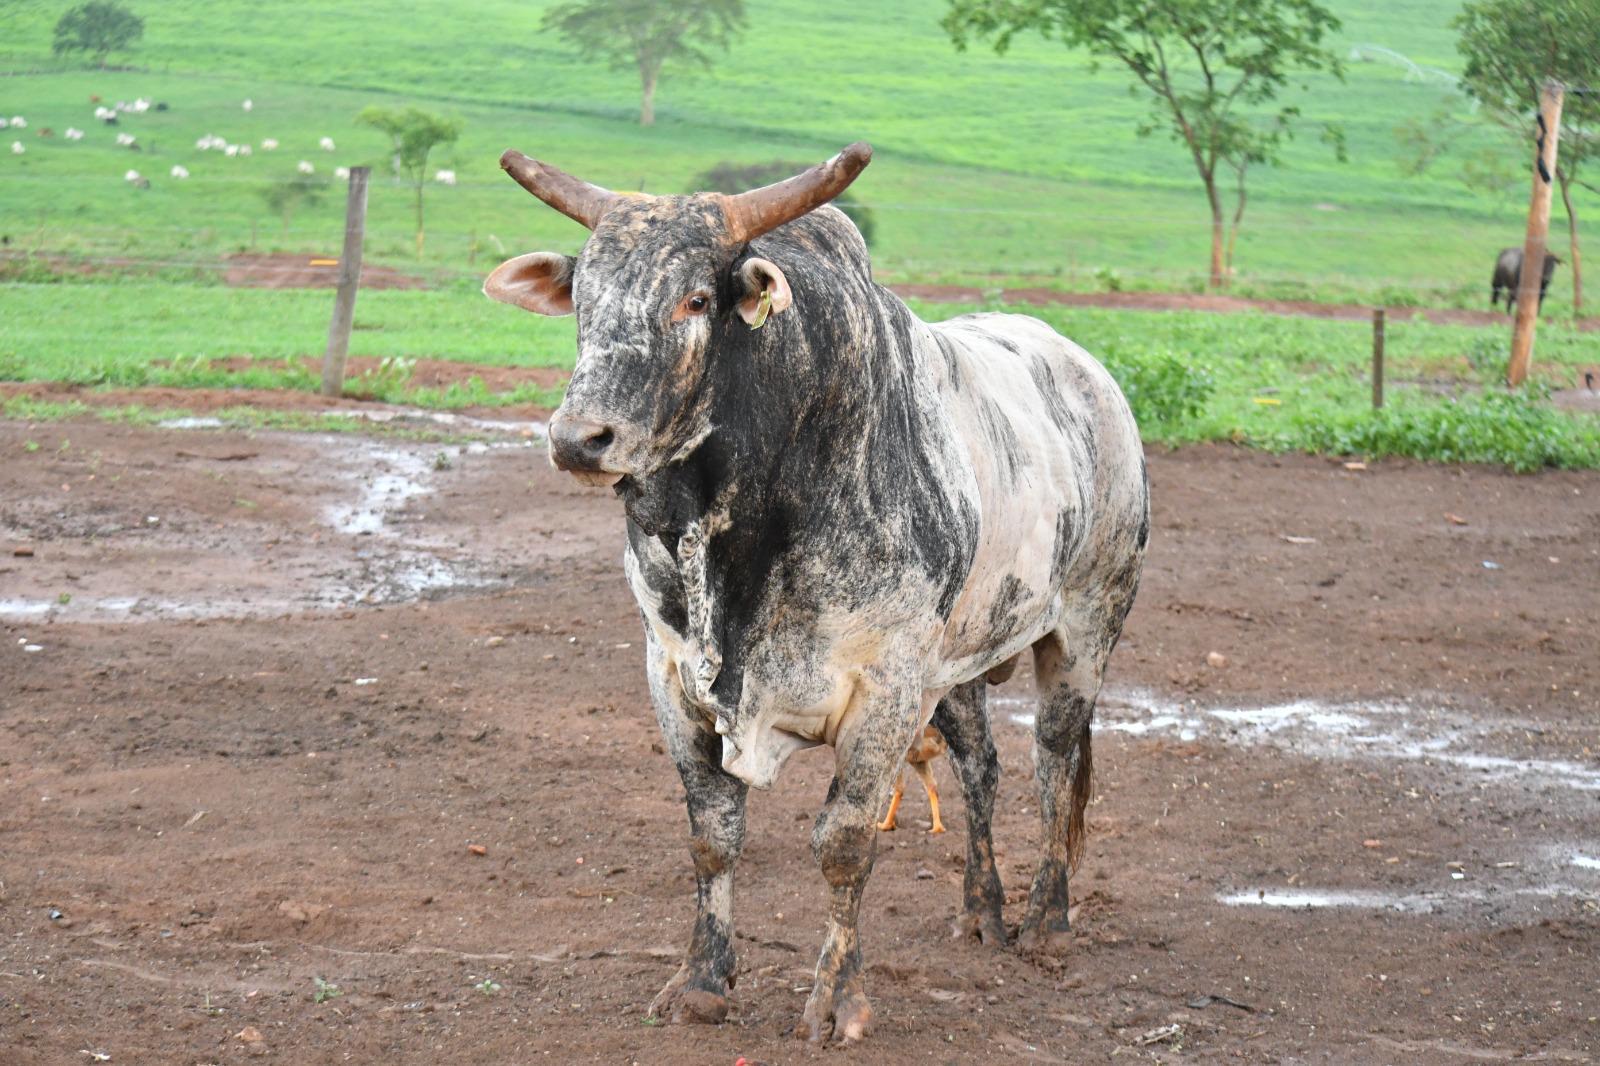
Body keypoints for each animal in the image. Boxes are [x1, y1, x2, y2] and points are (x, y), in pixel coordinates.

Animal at [483, 143, 1149, 1043]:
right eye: (582, 299)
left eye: (696, 298)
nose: (580, 439)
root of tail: (1094, 379)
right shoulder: (672, 678)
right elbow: (712, 835)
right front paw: (703, 981)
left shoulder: (885, 692)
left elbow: (843, 843)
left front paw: (837, 1001)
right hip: (959, 667)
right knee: (982, 768)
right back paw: (982, 911)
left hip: (1086, 626)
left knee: (1055, 759)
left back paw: (1048, 923)